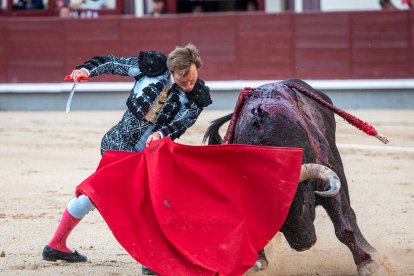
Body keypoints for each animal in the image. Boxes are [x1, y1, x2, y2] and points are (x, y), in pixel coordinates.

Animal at [204, 78, 388, 274]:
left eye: (303, 202)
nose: (304, 244)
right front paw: (259, 259)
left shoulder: (327, 181)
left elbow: (343, 228)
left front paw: (367, 263)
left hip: (335, 160)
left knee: (349, 213)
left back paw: (370, 249)